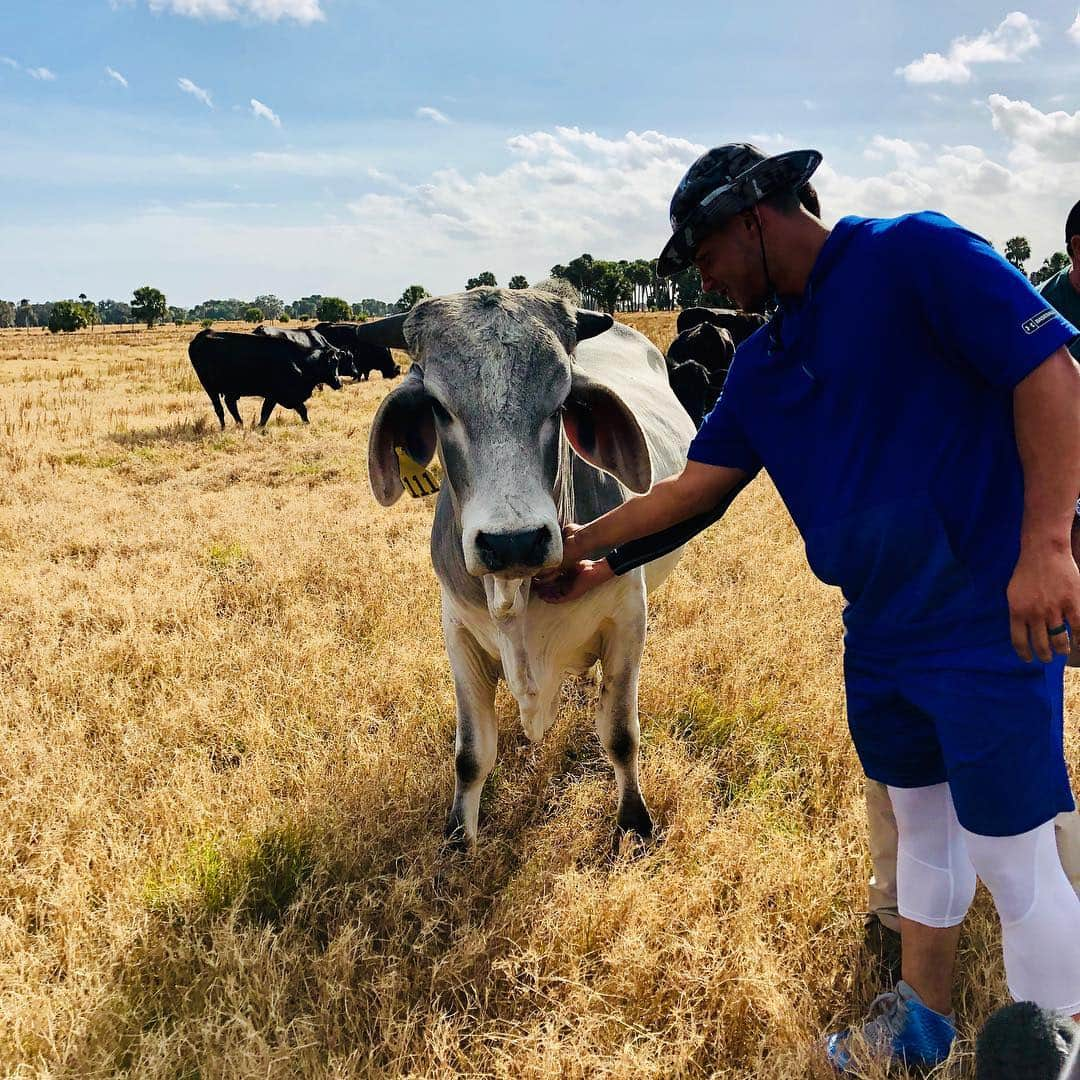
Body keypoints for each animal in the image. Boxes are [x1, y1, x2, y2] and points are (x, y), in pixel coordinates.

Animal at [186, 326, 341, 427]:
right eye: (332, 363)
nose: (339, 383)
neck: (299, 361)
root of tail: (204, 335)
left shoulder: (278, 396)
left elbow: (268, 412)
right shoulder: (279, 394)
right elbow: (294, 410)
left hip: (230, 390)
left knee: (230, 405)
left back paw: (240, 424)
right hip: (210, 388)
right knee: (219, 409)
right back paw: (224, 427)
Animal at [354, 291, 691, 846]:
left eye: (560, 405)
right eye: (439, 408)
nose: (513, 542)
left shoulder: (628, 619)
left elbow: (620, 735)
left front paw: (635, 823)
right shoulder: (458, 632)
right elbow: (471, 754)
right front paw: (458, 840)